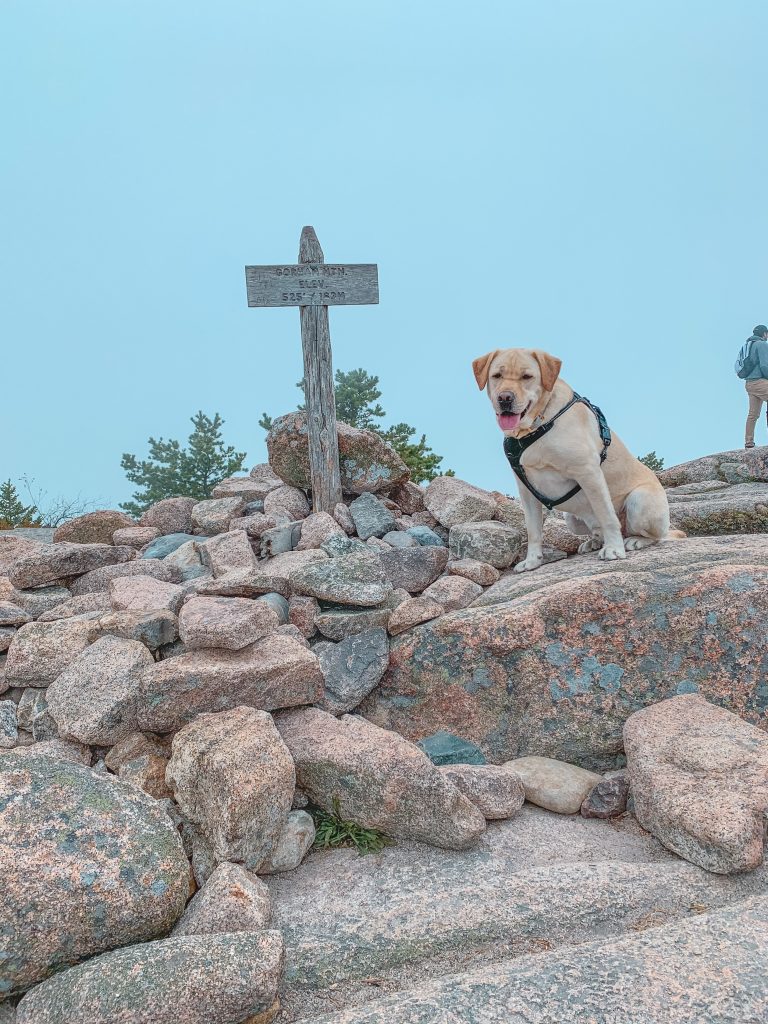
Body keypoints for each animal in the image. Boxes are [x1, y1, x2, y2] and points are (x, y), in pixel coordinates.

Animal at [473, 348, 684, 573]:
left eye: (527, 376)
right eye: (497, 375)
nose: (505, 398)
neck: (537, 424)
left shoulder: (589, 472)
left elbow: (608, 516)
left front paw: (614, 549)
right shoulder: (526, 490)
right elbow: (533, 530)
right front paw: (532, 561)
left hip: (640, 500)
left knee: (655, 536)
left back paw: (634, 540)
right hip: (571, 520)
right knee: (598, 529)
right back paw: (594, 542)